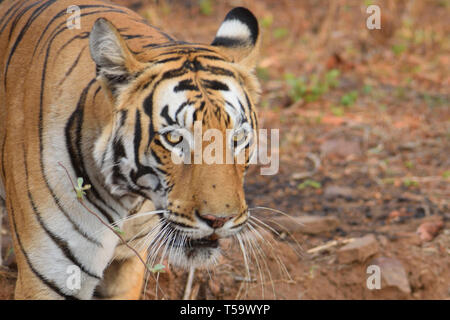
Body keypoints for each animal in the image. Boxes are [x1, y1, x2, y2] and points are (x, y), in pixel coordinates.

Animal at [0, 0, 260, 300]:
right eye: (174, 138)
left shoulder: (127, 267)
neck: (129, 200)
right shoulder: (48, 280)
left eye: (238, 138)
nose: (219, 220)